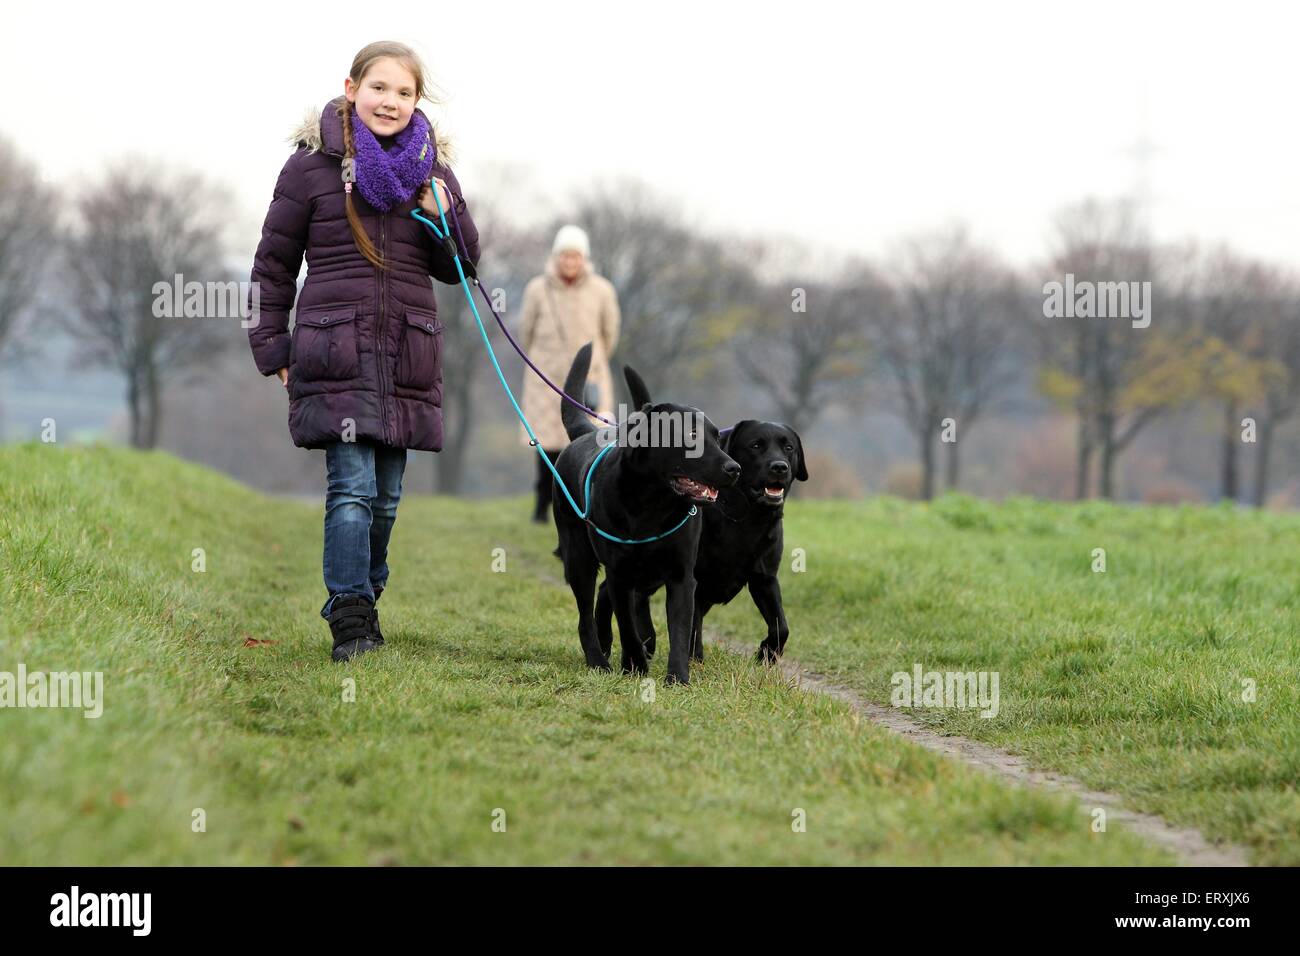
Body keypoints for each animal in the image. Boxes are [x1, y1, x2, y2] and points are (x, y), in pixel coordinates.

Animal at [551, 340, 743, 686]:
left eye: (716, 437)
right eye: (691, 436)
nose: (734, 469)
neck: (653, 503)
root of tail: (584, 432)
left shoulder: (681, 575)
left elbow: (679, 629)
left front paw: (678, 677)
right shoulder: (620, 574)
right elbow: (627, 625)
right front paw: (635, 666)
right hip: (578, 557)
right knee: (586, 614)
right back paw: (598, 659)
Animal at [595, 371, 806, 665]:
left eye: (788, 448)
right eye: (755, 446)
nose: (779, 467)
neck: (742, 519)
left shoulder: (765, 578)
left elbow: (781, 626)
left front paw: (767, 653)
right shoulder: (692, 577)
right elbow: (692, 626)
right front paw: (694, 659)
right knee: (616, 593)